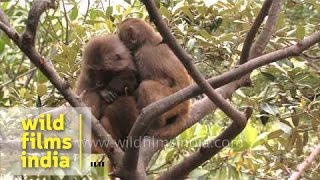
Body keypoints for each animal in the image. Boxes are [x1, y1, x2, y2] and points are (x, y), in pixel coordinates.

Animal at [76, 18, 191, 153]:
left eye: (122, 38)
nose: (99, 82)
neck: (147, 40)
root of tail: (186, 107)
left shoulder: (142, 55)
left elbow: (157, 81)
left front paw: (106, 90)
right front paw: (104, 90)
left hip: (175, 103)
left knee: (146, 87)